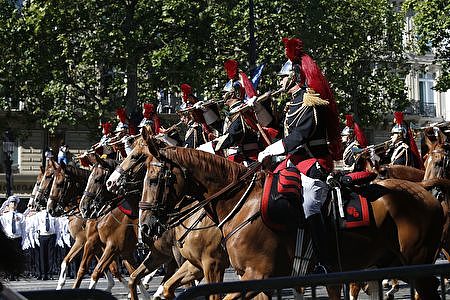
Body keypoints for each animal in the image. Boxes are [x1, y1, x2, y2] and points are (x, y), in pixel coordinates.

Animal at [142, 131, 446, 300]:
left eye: (155, 179)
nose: (145, 227)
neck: (241, 205)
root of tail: (426, 192)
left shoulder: (254, 274)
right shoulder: (248, 277)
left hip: (416, 262)